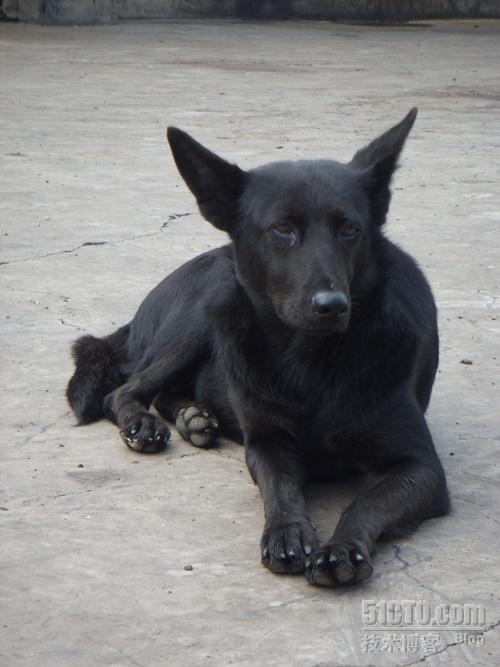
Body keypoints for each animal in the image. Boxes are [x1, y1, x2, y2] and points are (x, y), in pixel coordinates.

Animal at [66, 111, 450, 588]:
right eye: (282, 230)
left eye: (350, 230)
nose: (332, 305)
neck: (311, 362)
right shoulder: (267, 445)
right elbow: (280, 489)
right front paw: (287, 533)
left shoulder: (421, 467)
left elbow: (365, 502)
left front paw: (342, 548)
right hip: (210, 305)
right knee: (125, 391)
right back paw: (145, 424)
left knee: (167, 390)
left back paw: (193, 417)